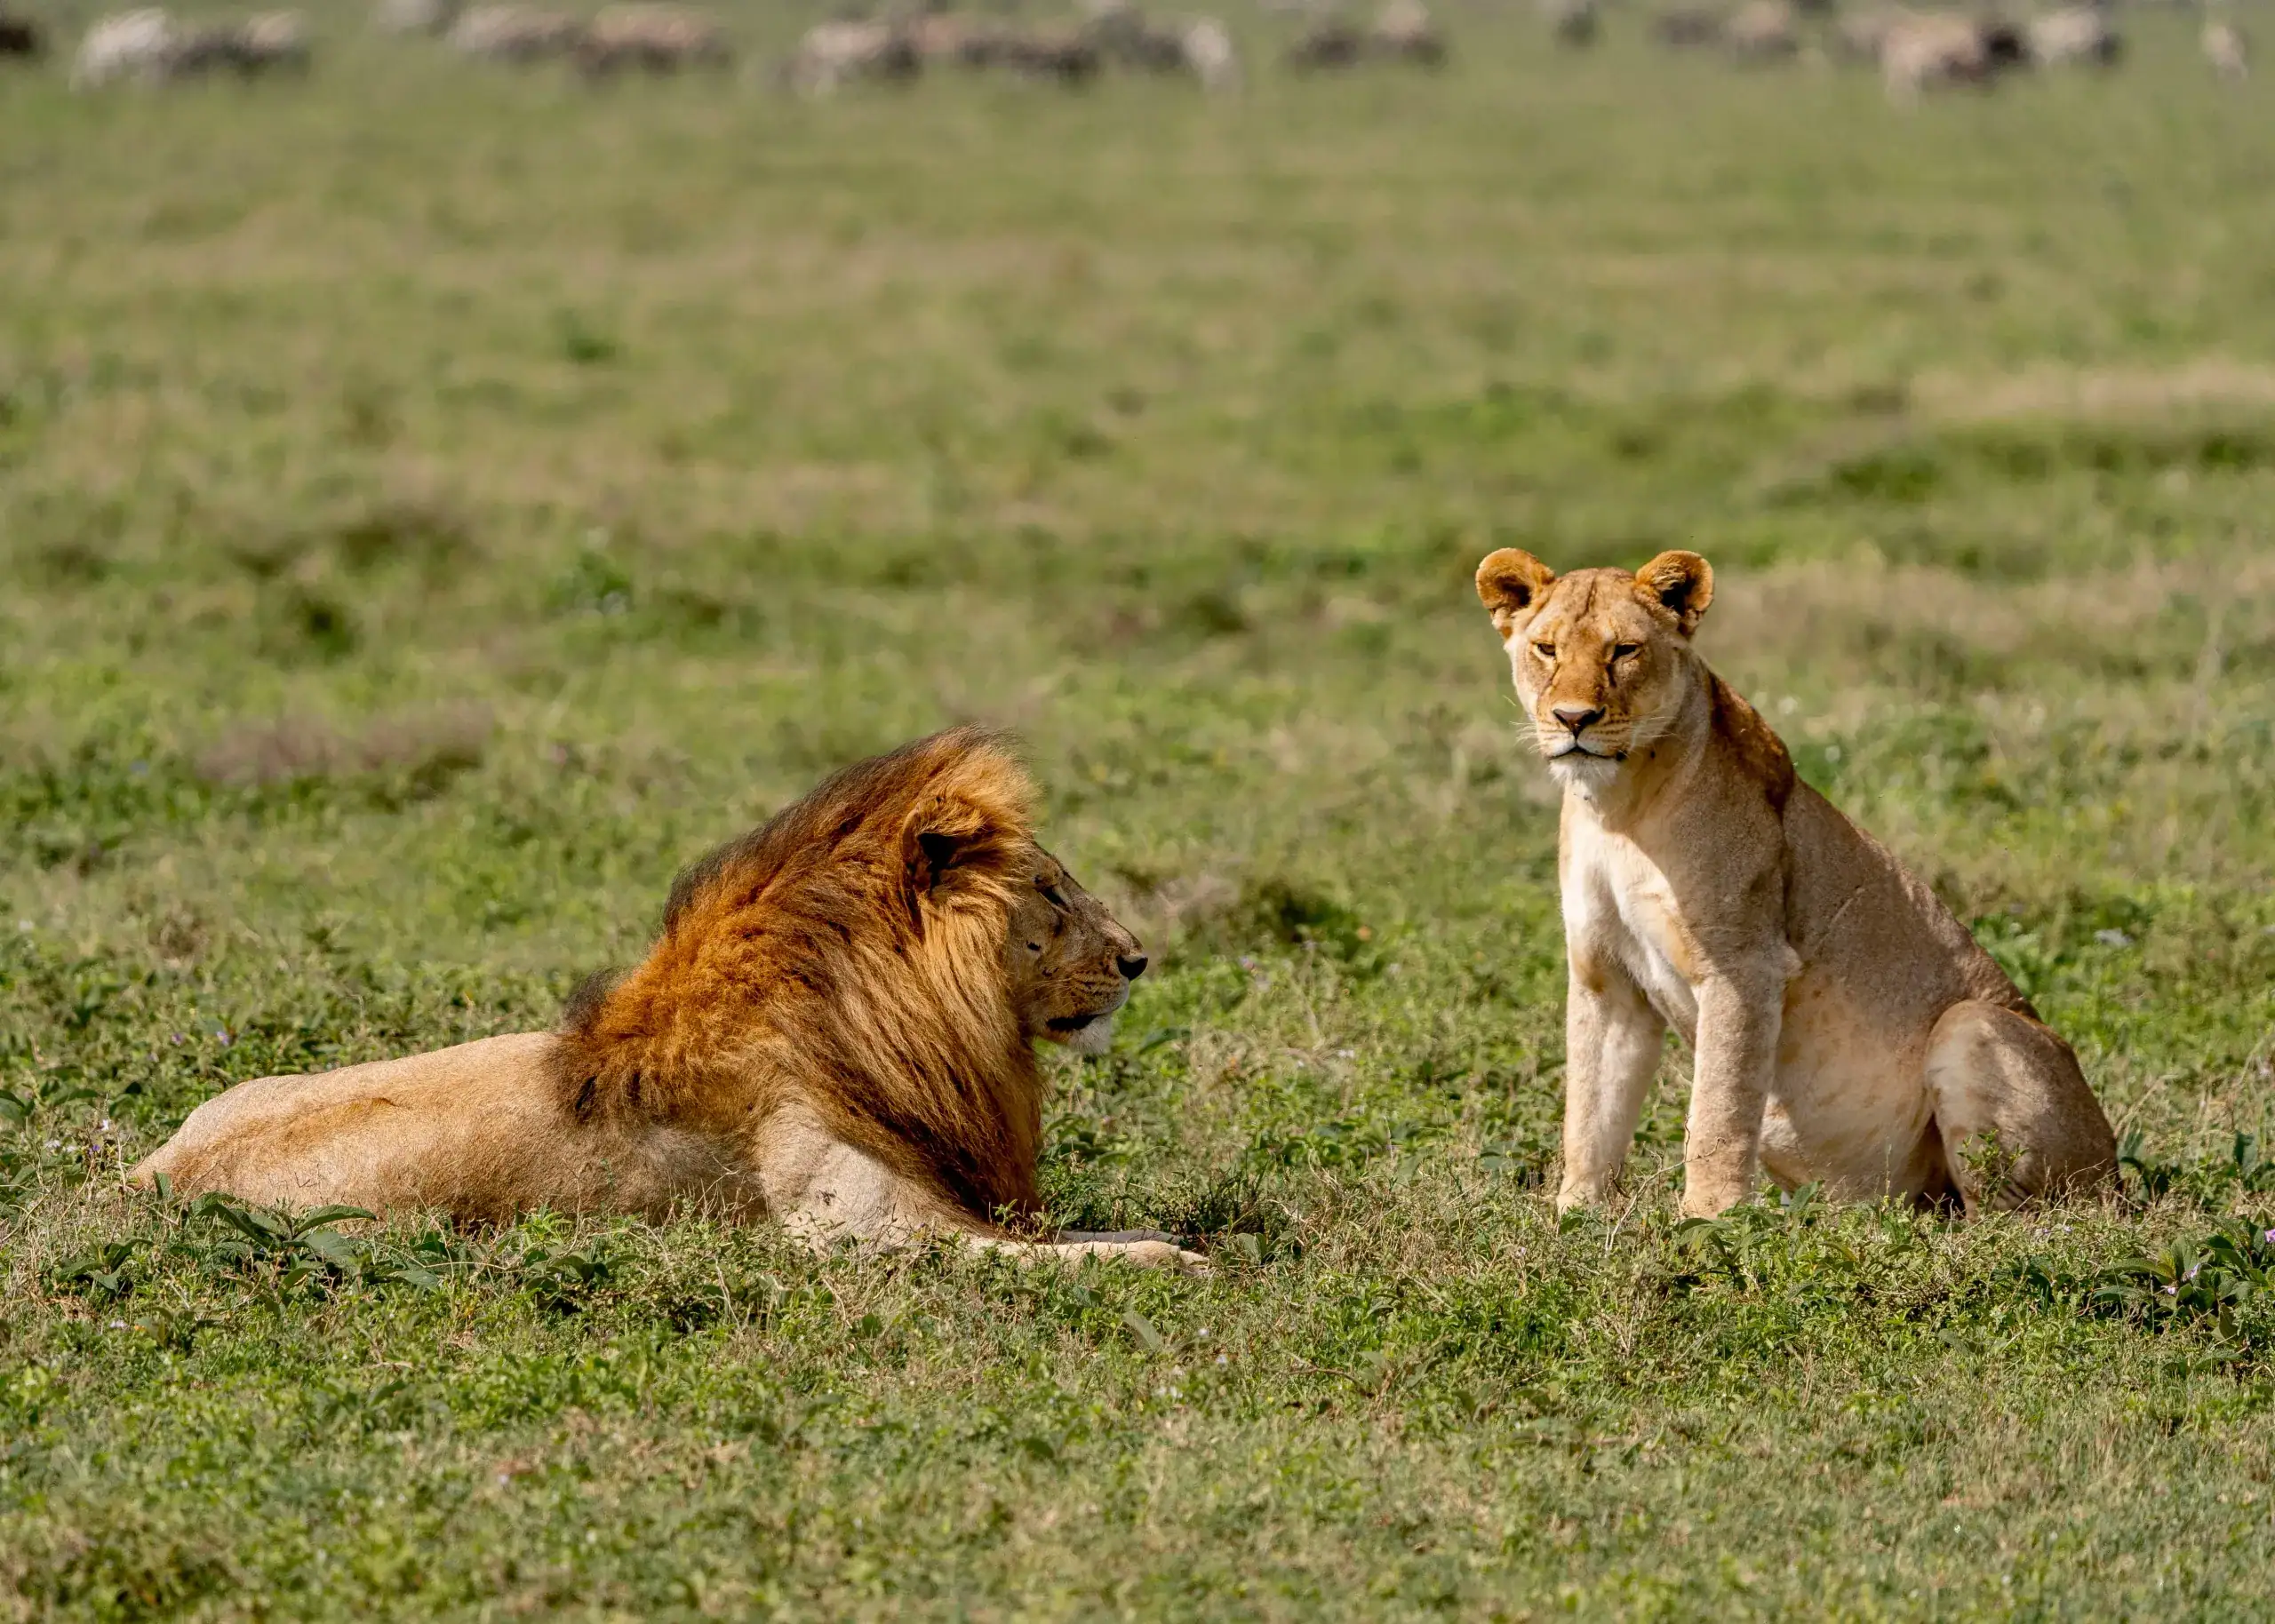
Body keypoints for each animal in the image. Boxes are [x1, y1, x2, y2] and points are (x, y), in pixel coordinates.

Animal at [131, 729, 1205, 1272]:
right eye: (1053, 893)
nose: (1139, 959)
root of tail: (153, 1176)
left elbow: (1095, 1237)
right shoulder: (857, 1234)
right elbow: (1100, 1257)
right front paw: (1188, 1264)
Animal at [1474, 548, 2116, 1219]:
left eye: (1624, 651)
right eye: (1546, 649)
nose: (1573, 719)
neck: (1618, 811)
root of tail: (2117, 1171)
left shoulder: (1745, 966)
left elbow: (1719, 1109)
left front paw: (1708, 1220)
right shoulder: (1607, 978)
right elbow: (1591, 1109)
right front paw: (1576, 1215)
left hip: (1973, 1026)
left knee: (2012, 1217)